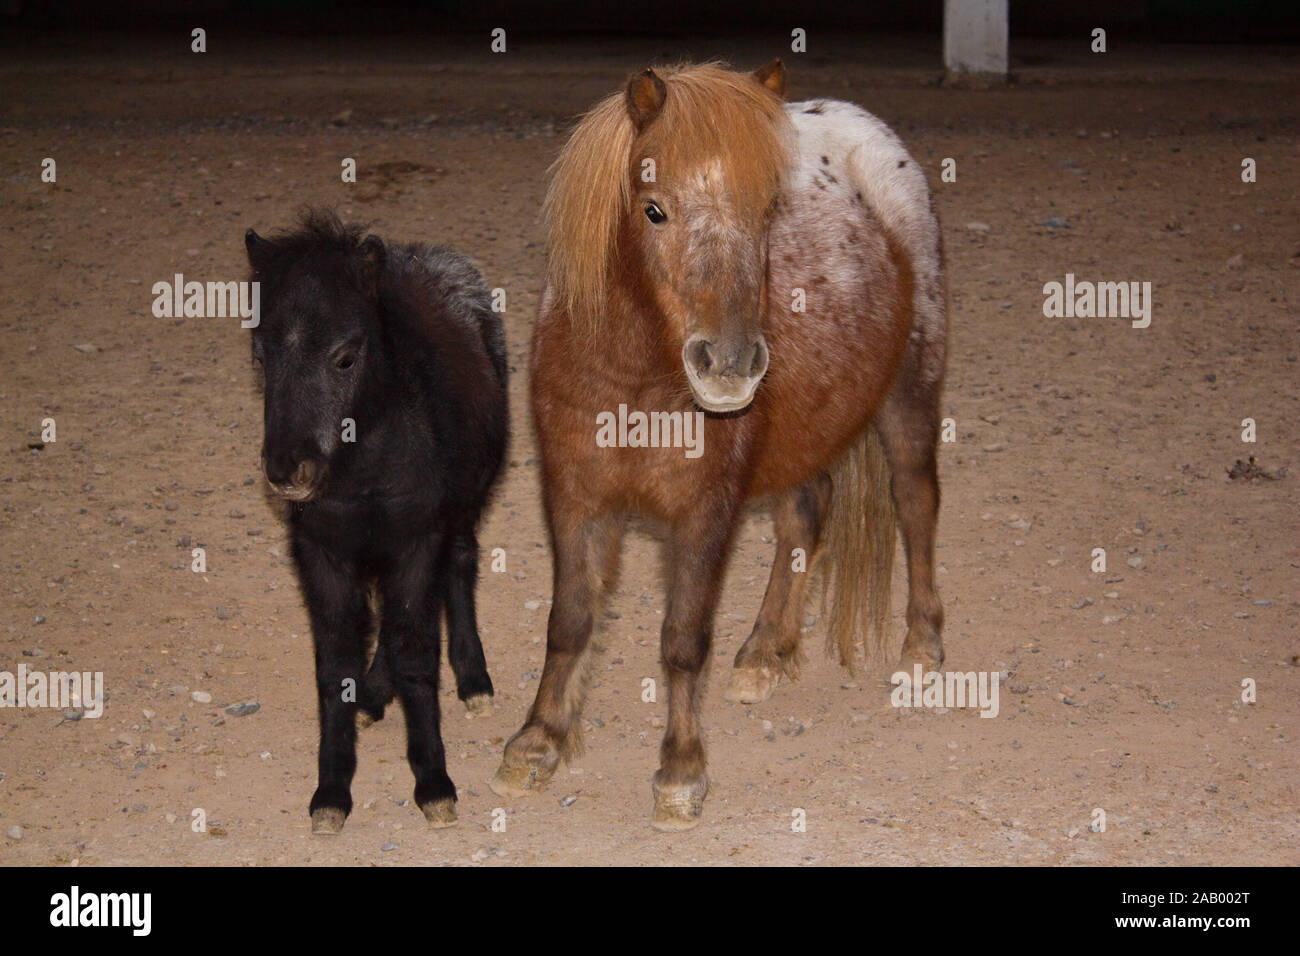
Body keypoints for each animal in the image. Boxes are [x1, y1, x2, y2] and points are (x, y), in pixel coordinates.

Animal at [244, 208, 506, 832]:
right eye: (261, 356)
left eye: (344, 356)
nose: (287, 470)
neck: (363, 470)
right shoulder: (323, 554)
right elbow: (335, 662)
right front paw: (331, 791)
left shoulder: (417, 540)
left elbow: (416, 655)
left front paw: (434, 783)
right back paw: (371, 697)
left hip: (459, 511)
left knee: (458, 570)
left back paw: (473, 681)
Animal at [491, 59, 951, 827]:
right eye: (653, 208)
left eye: (767, 213)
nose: (731, 364)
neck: (635, 380)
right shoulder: (575, 498)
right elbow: (570, 622)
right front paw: (536, 743)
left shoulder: (705, 512)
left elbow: (683, 640)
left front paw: (680, 771)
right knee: (805, 514)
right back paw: (767, 650)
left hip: (911, 391)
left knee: (915, 502)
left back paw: (921, 645)